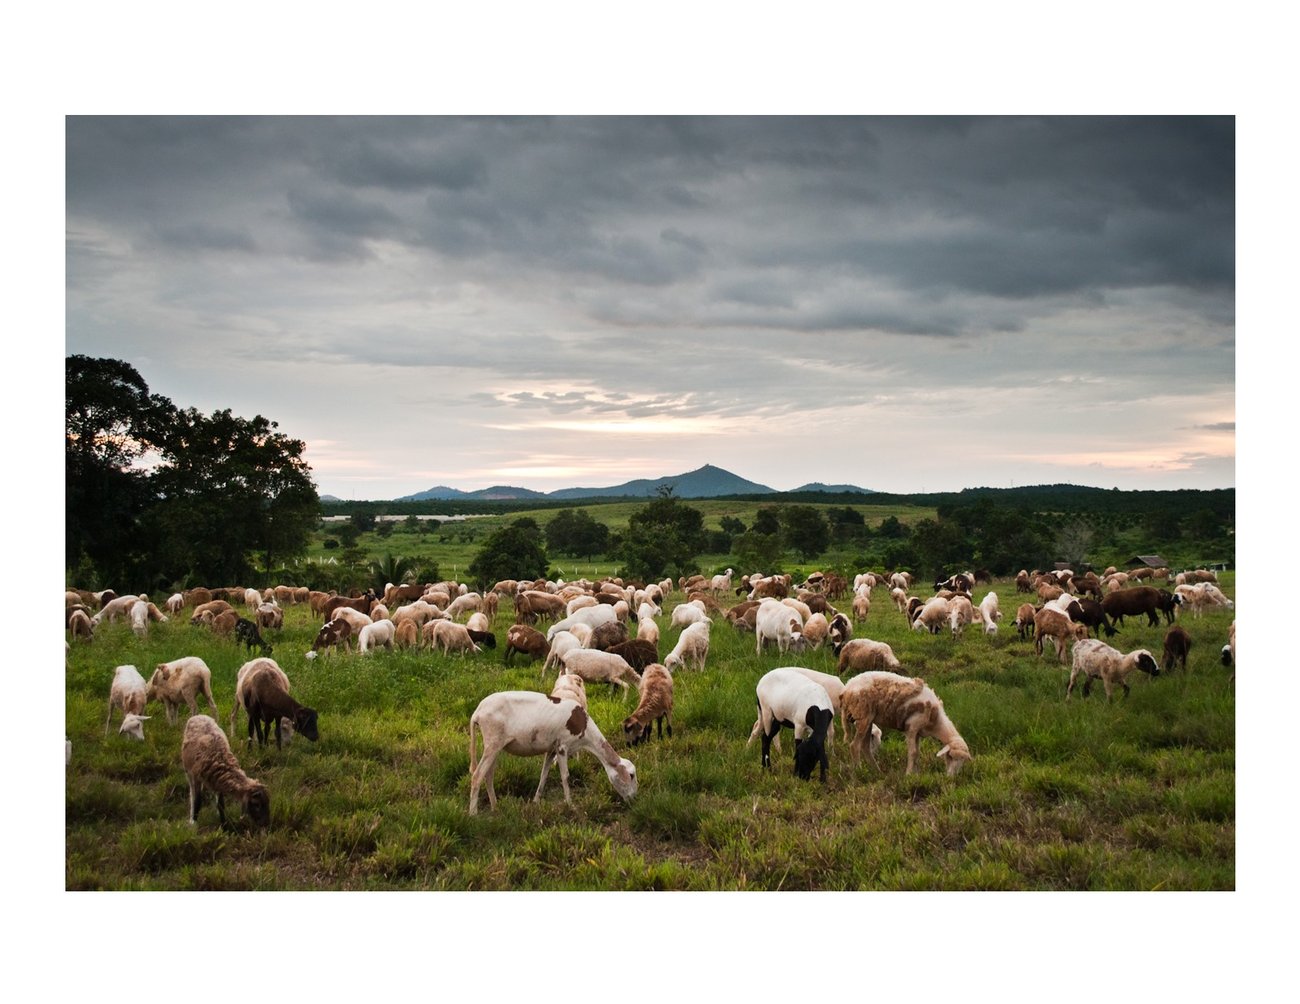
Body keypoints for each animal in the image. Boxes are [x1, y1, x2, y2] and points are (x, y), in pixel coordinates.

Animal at [467, 691, 638, 813]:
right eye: (631, 775)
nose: (634, 799)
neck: (586, 732)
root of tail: (477, 712)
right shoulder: (562, 746)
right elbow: (565, 776)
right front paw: (570, 805)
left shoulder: (551, 749)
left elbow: (544, 774)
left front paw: (536, 801)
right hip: (492, 742)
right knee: (477, 776)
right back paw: (473, 814)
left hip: (495, 746)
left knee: (488, 775)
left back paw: (495, 807)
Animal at [840, 671, 972, 775]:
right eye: (950, 757)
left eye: (962, 761)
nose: (951, 777)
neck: (936, 721)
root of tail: (846, 689)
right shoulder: (912, 727)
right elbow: (912, 752)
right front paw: (908, 775)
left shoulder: (918, 732)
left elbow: (917, 753)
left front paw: (916, 774)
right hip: (863, 715)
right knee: (854, 745)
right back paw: (859, 771)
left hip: (868, 719)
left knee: (865, 747)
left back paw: (877, 772)